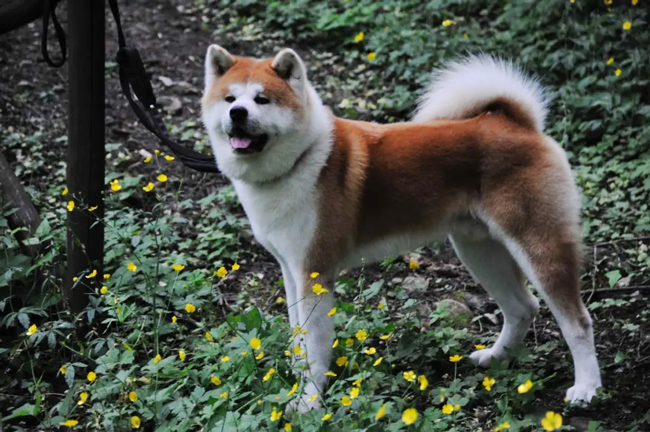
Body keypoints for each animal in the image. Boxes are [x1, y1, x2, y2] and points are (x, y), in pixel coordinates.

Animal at [200, 45, 600, 410]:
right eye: (230, 98)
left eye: (262, 100)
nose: (237, 113)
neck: (301, 160)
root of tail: (520, 123)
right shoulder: (290, 270)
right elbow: (298, 339)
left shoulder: (314, 273)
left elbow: (313, 347)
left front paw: (308, 403)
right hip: (478, 250)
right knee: (522, 308)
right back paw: (495, 358)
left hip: (537, 246)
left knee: (577, 321)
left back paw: (586, 389)